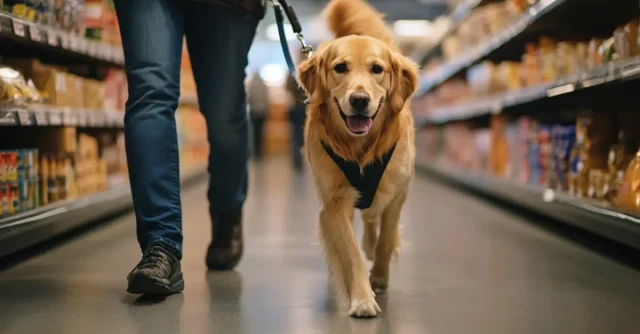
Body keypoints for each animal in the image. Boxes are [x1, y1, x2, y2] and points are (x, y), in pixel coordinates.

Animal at [296, 0, 420, 318]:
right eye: (340, 68)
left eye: (377, 69)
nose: (360, 100)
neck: (361, 148)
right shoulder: (335, 202)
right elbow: (350, 254)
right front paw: (362, 298)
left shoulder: (399, 192)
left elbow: (387, 239)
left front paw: (379, 276)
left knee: (373, 218)